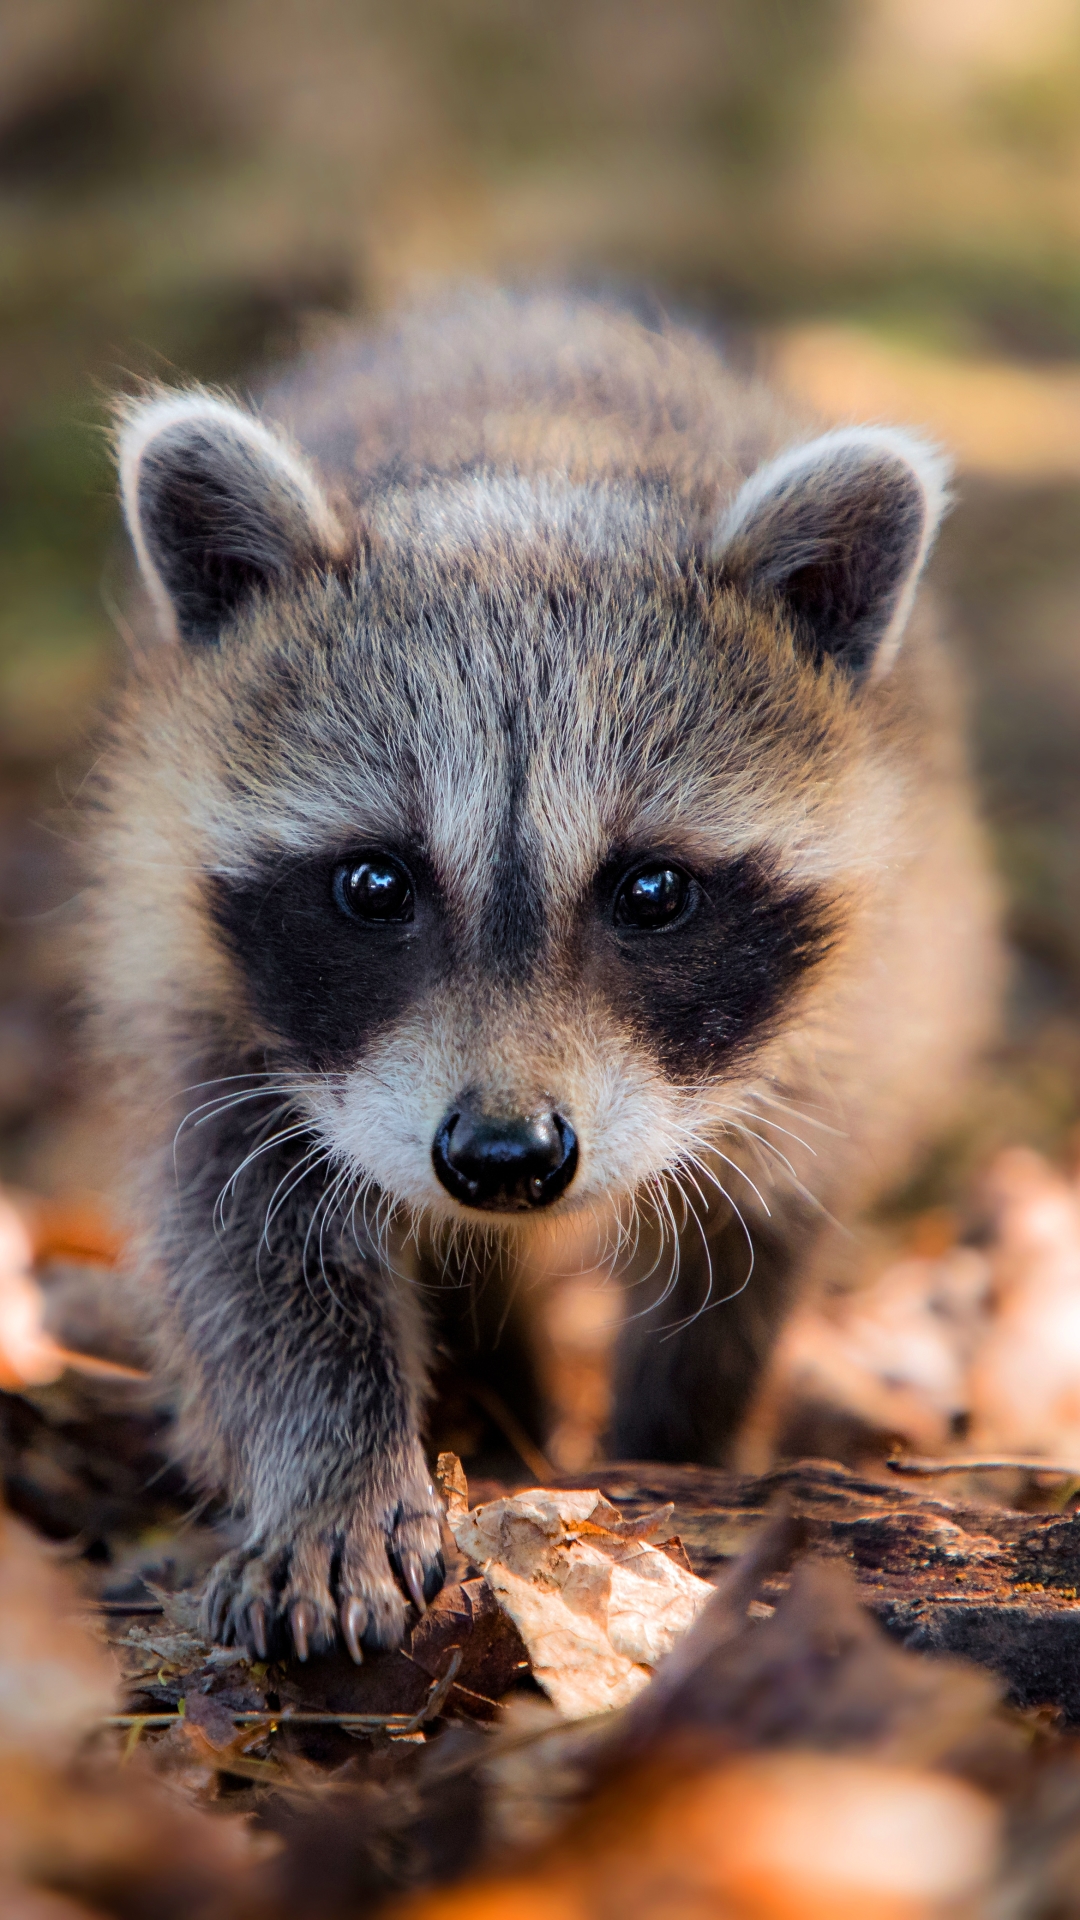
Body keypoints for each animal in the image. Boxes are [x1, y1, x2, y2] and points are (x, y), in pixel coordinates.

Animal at [88, 289, 999, 1661]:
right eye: (374, 885)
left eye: (652, 892)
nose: (504, 1161)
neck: (532, 461)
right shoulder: (198, 976)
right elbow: (243, 1242)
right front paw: (332, 1474)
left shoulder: (857, 1004)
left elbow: (751, 1237)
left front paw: (675, 1447)